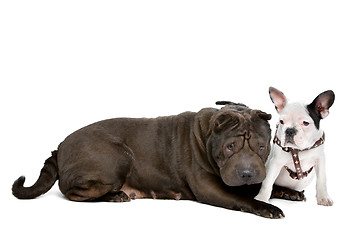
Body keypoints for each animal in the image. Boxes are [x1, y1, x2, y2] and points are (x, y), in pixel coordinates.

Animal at [12, 102, 302, 218]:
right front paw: (267, 207)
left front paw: (288, 192)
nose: (247, 173)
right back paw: (115, 195)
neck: (208, 135)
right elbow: (242, 198)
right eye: (230, 147)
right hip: (119, 156)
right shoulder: (210, 188)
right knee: (74, 193)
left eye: (261, 146)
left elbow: (267, 186)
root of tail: (60, 146)